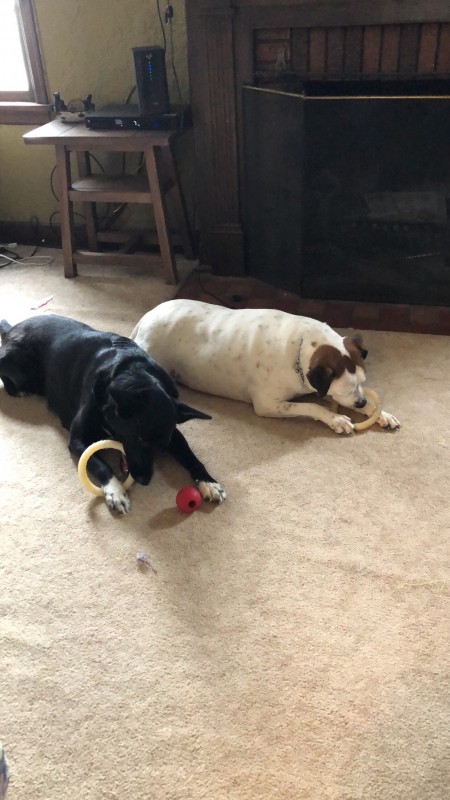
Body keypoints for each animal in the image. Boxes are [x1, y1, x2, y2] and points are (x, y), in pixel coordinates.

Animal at [0, 314, 226, 513]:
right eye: (139, 439)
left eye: (162, 446)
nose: (144, 481)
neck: (135, 372)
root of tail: (12, 328)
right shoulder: (78, 439)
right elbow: (100, 465)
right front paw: (115, 492)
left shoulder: (173, 432)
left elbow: (189, 455)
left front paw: (209, 482)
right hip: (15, 364)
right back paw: (19, 390)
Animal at [131, 300, 400, 434]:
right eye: (345, 388)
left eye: (362, 383)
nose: (361, 403)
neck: (299, 348)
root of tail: (145, 317)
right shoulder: (269, 404)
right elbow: (313, 406)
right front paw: (336, 418)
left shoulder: (318, 387)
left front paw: (380, 413)